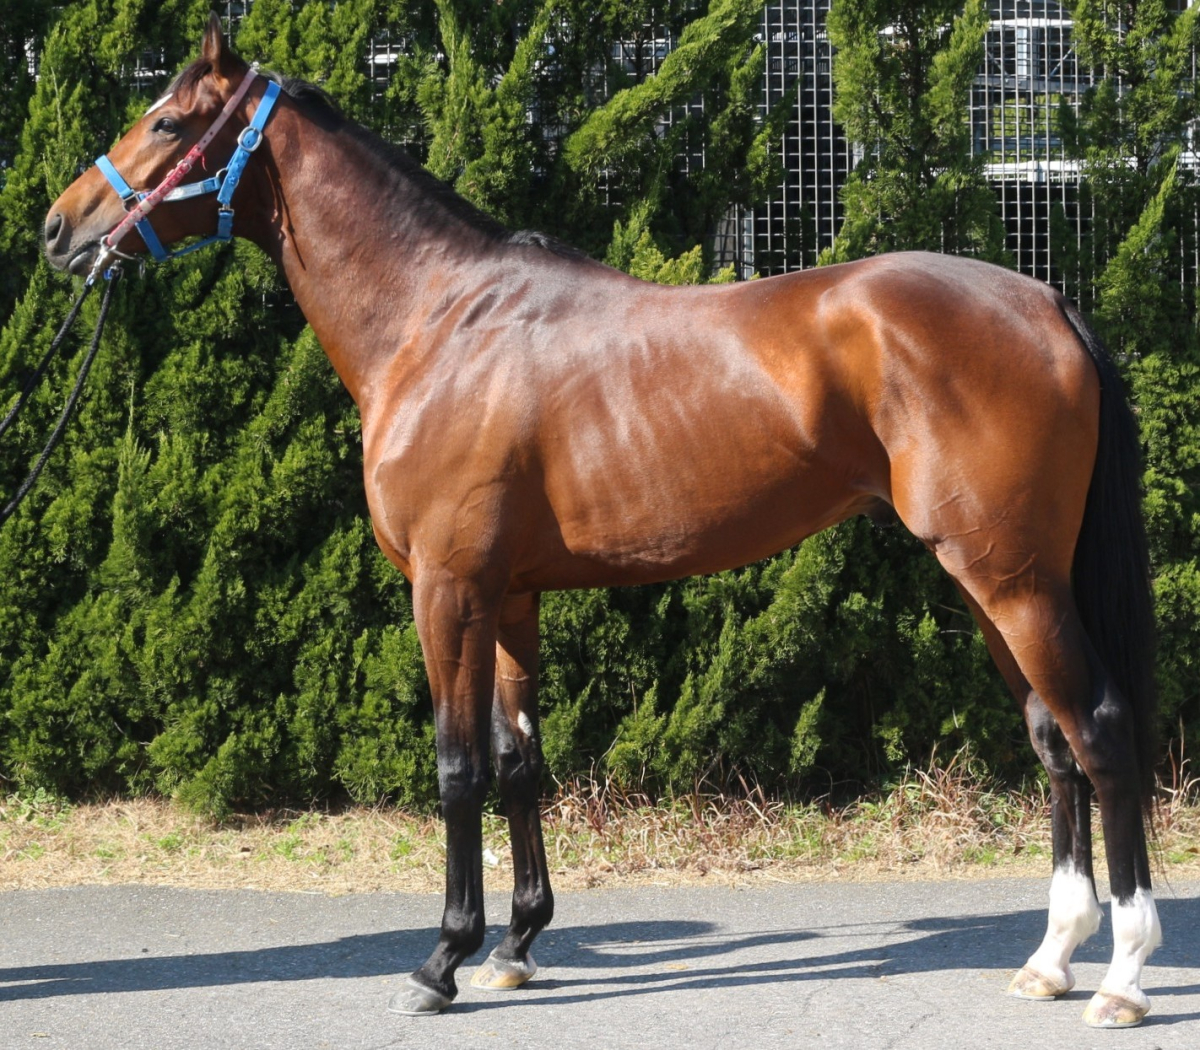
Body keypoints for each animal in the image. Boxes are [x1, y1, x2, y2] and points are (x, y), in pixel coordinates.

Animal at [43, 17, 1162, 1028]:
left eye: (166, 119)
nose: (59, 229)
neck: (438, 321)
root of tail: (1050, 304)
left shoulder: (447, 589)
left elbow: (457, 768)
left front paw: (442, 961)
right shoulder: (510, 596)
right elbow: (519, 761)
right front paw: (517, 946)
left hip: (1012, 580)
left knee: (1102, 733)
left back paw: (1121, 976)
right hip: (995, 579)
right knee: (1053, 738)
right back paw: (1051, 959)